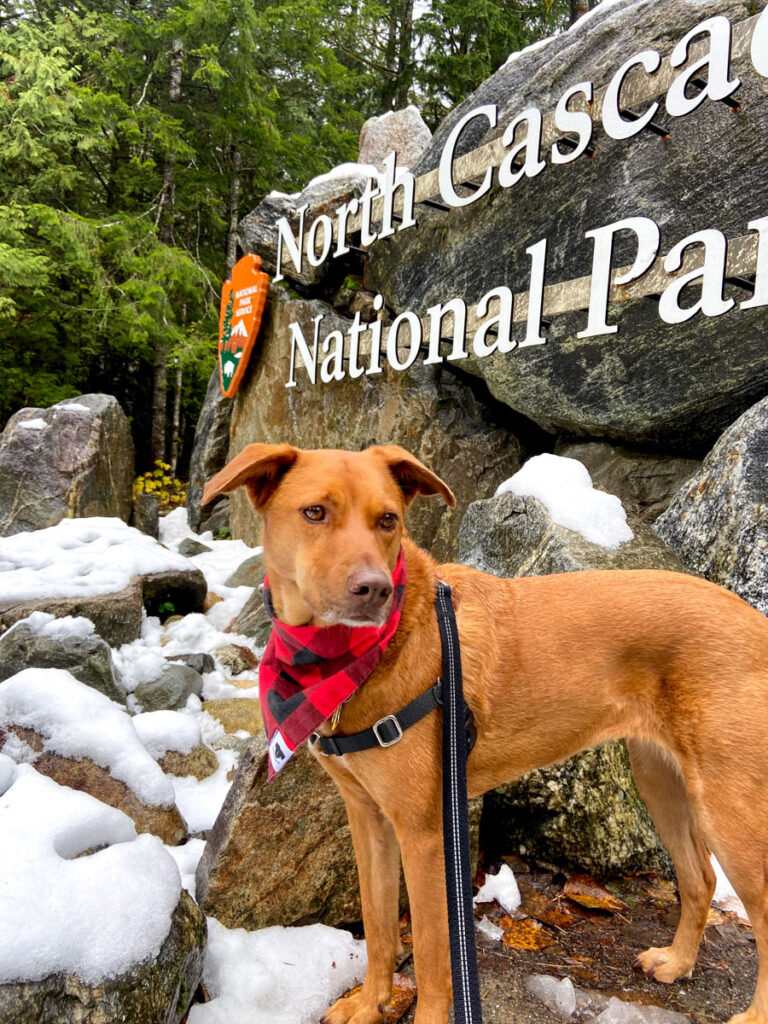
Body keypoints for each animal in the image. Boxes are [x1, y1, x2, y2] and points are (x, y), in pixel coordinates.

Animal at [202, 444, 768, 1024]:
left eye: (389, 520)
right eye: (314, 513)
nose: (375, 589)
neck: (353, 658)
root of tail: (755, 620)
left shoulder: (425, 834)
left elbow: (433, 960)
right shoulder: (369, 818)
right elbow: (378, 926)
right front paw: (369, 1004)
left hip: (730, 809)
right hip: (661, 780)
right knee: (700, 877)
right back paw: (677, 963)